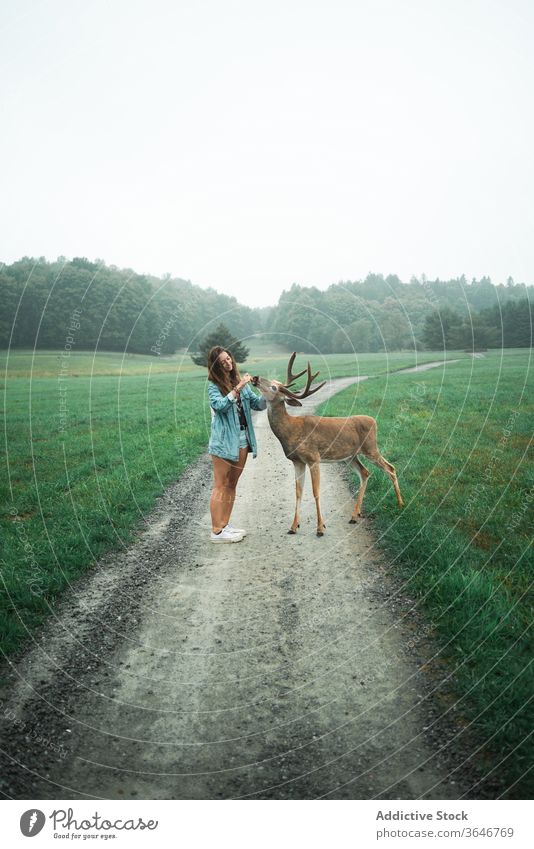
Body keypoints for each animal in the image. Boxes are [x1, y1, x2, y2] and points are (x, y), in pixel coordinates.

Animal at [253, 352, 404, 536]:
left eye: (274, 387)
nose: (255, 378)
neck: (291, 430)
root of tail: (374, 421)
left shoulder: (313, 457)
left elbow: (315, 492)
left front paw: (320, 527)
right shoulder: (297, 461)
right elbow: (298, 492)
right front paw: (293, 526)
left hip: (371, 448)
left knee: (390, 468)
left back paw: (400, 504)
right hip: (350, 456)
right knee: (365, 473)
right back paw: (355, 515)